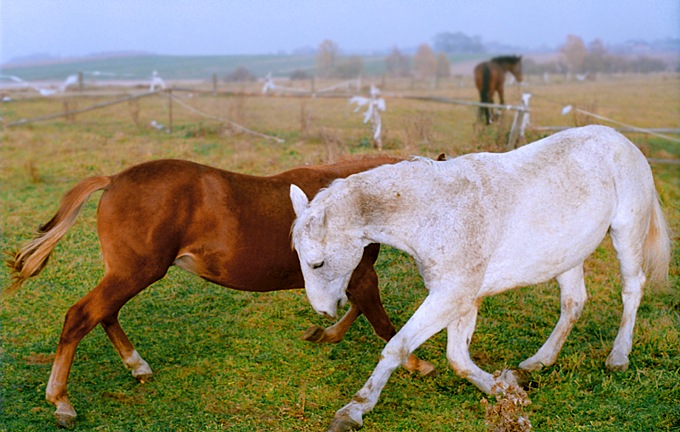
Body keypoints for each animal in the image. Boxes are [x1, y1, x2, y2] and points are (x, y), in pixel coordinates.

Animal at [5, 159, 432, 428]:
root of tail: (112, 180)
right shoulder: (360, 276)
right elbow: (383, 323)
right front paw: (417, 365)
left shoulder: (351, 278)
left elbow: (358, 312)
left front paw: (323, 333)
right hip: (135, 272)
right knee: (81, 315)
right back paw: (61, 401)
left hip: (128, 273)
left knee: (104, 313)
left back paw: (137, 366)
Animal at [290, 125, 672, 432]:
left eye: (318, 263)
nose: (323, 311)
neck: (435, 213)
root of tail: (621, 139)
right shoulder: (461, 299)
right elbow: (458, 359)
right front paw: (506, 389)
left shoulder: (451, 295)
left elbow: (397, 347)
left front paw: (353, 411)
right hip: (567, 256)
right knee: (573, 302)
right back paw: (536, 363)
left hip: (626, 234)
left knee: (631, 289)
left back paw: (618, 357)